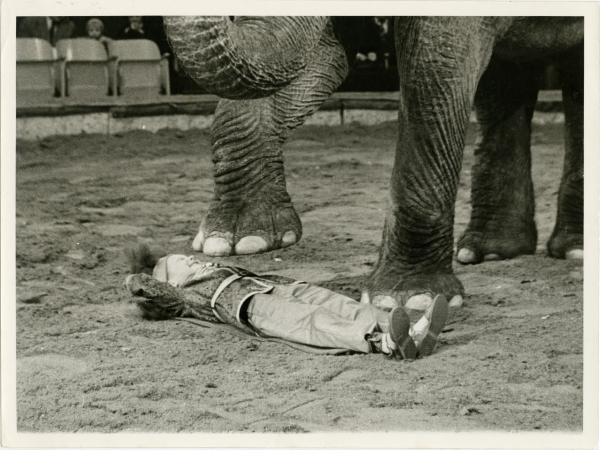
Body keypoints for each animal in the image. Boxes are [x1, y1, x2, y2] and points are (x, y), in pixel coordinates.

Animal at [162, 16, 584, 306]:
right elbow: (323, 55)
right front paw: (239, 243)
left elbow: (433, 68)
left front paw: (407, 301)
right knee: (505, 82)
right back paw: (490, 252)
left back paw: (571, 251)